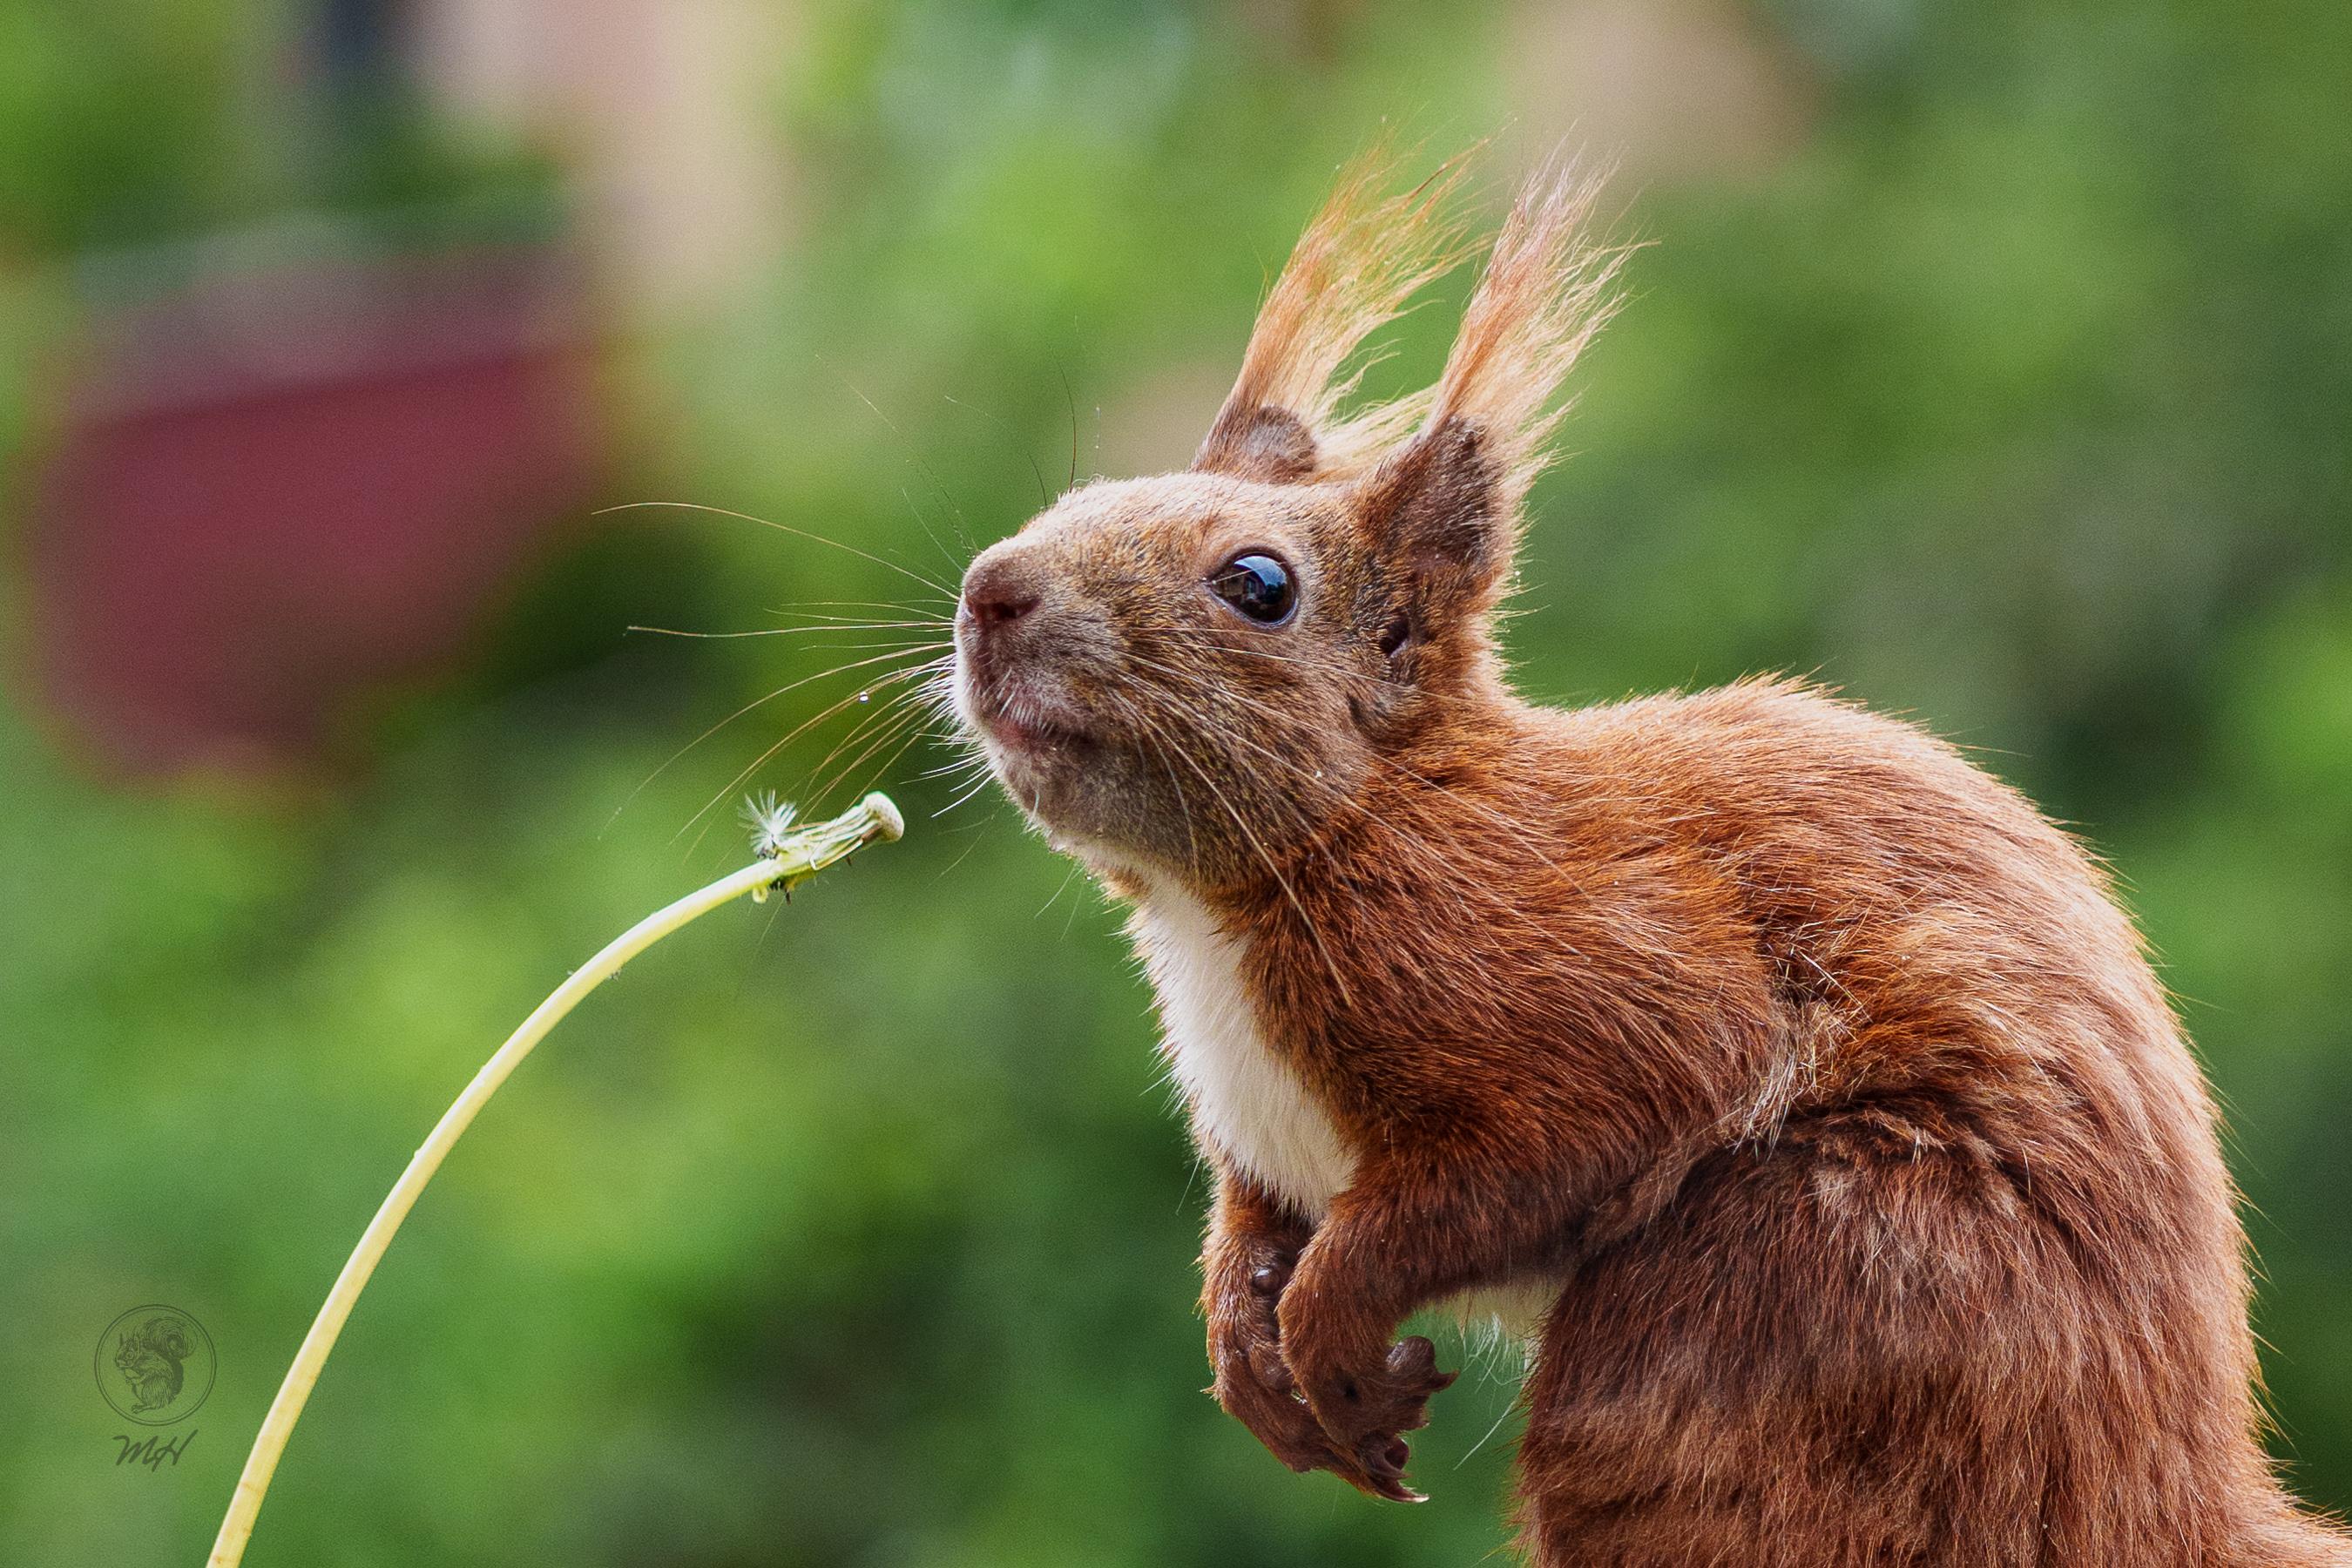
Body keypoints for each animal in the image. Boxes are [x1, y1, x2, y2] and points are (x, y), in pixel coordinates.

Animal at [948, 149, 2352, 1565]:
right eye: (1074, 498)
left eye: (1258, 585)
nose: (989, 591)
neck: (1238, 895)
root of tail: (2158, 1490)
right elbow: (1253, 1220)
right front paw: (1249, 1345)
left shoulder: (1582, 983)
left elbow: (1527, 1154)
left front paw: (1327, 1328)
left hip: (1782, 1289)